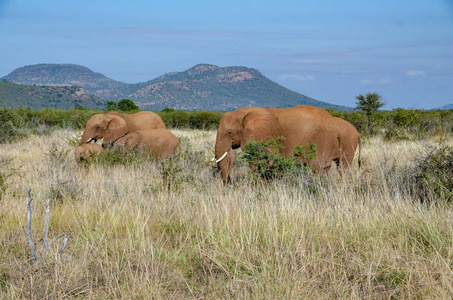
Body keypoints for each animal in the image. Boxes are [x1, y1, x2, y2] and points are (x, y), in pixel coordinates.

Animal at [214, 105, 358, 185]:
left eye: (229, 132)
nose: (229, 184)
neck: (243, 112)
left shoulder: (264, 135)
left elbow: (260, 162)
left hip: (324, 139)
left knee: (323, 167)